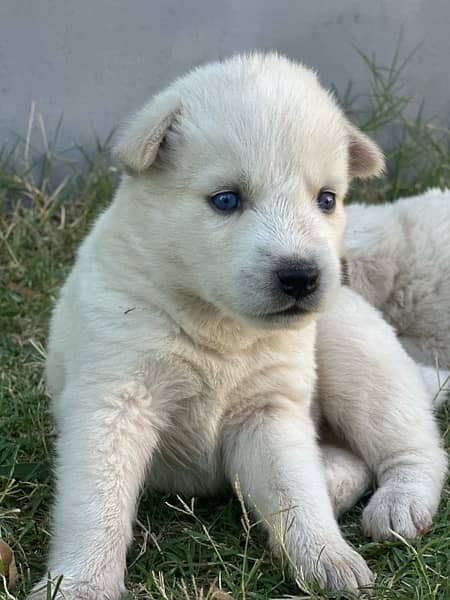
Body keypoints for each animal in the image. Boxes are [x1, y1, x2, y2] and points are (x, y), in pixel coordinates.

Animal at [30, 54, 446, 596]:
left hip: (358, 353)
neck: (218, 326)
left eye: (327, 199)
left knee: (414, 447)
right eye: (226, 200)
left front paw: (328, 559)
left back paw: (398, 505)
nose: (301, 275)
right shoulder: (115, 400)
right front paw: (80, 583)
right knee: (356, 455)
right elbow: (96, 505)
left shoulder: (269, 410)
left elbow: (294, 492)